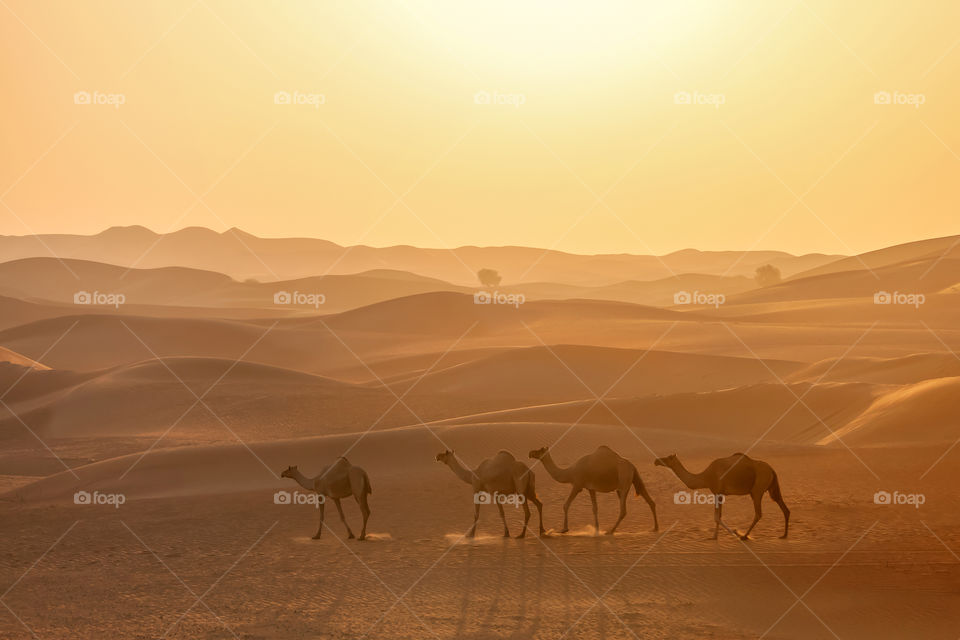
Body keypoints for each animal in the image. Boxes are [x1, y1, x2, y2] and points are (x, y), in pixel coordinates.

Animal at [524, 444, 660, 536]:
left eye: (539, 450)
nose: (530, 453)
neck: (570, 472)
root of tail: (632, 466)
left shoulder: (577, 484)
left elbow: (566, 504)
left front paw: (564, 529)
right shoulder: (590, 488)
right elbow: (595, 508)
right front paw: (596, 530)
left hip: (623, 482)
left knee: (623, 510)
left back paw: (610, 531)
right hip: (634, 479)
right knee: (650, 501)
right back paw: (655, 528)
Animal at [656, 452, 792, 536]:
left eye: (668, 458)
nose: (656, 460)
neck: (705, 477)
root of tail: (772, 469)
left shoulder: (717, 492)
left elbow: (717, 517)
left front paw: (734, 532)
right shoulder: (720, 494)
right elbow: (718, 516)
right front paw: (715, 537)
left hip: (757, 489)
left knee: (758, 513)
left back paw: (745, 536)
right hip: (771, 487)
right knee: (782, 505)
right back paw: (784, 535)